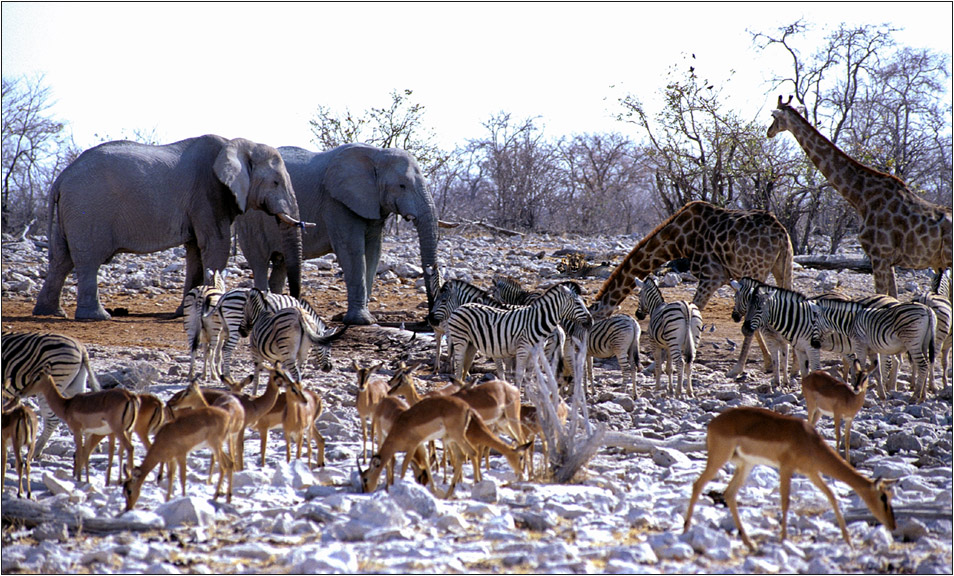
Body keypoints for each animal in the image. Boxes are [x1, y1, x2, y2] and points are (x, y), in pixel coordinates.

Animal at [33, 137, 304, 322]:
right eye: (276, 182)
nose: (296, 302)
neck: (238, 143)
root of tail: (61, 177)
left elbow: (196, 252)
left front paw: (185, 311)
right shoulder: (208, 192)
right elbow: (216, 246)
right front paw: (210, 309)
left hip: (71, 212)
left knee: (62, 260)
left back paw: (50, 313)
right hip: (87, 209)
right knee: (87, 261)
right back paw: (97, 317)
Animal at [232, 142, 440, 326]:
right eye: (402, 185)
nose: (428, 319)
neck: (376, 155)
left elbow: (374, 252)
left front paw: (366, 318)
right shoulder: (337, 202)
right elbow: (352, 250)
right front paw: (361, 321)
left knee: (281, 263)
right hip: (250, 221)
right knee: (259, 261)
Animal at [444, 282, 588, 390]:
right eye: (578, 304)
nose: (590, 321)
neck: (536, 321)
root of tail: (461, 307)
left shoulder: (532, 352)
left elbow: (524, 374)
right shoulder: (517, 349)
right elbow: (513, 373)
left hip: (470, 344)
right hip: (461, 340)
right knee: (459, 366)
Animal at [592, 200, 792, 376]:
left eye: (594, 320)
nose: (594, 354)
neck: (679, 239)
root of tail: (781, 233)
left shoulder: (712, 276)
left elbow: (694, 308)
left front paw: (655, 365)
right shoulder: (729, 277)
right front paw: (768, 362)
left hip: (756, 269)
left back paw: (736, 369)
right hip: (783, 265)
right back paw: (793, 368)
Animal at [768, 94, 952, 296]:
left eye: (774, 117)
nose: (769, 132)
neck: (861, 196)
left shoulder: (879, 255)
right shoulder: (887, 260)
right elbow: (893, 297)